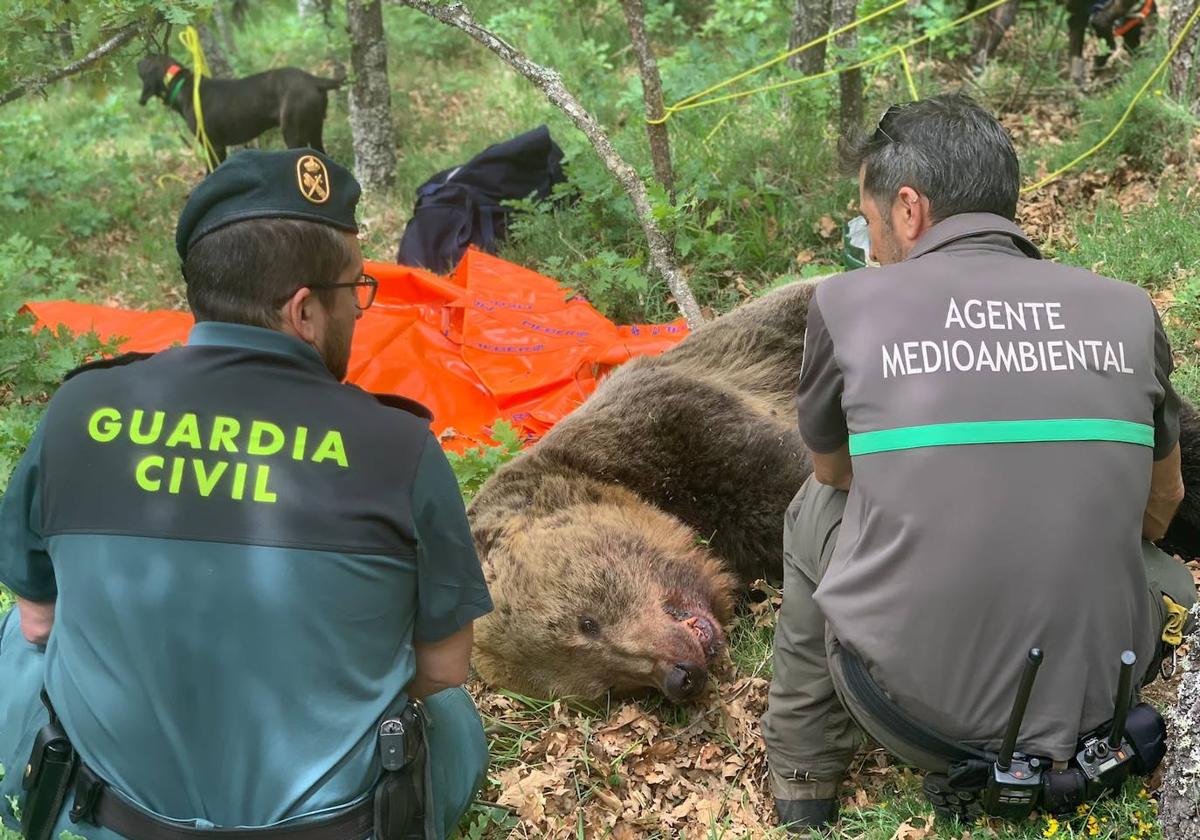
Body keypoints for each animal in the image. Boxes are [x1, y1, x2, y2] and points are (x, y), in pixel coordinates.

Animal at [138, 53, 343, 164]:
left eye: (148, 60)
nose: (139, 59)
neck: (182, 84)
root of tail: (313, 79)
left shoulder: (214, 147)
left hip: (294, 133)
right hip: (315, 130)